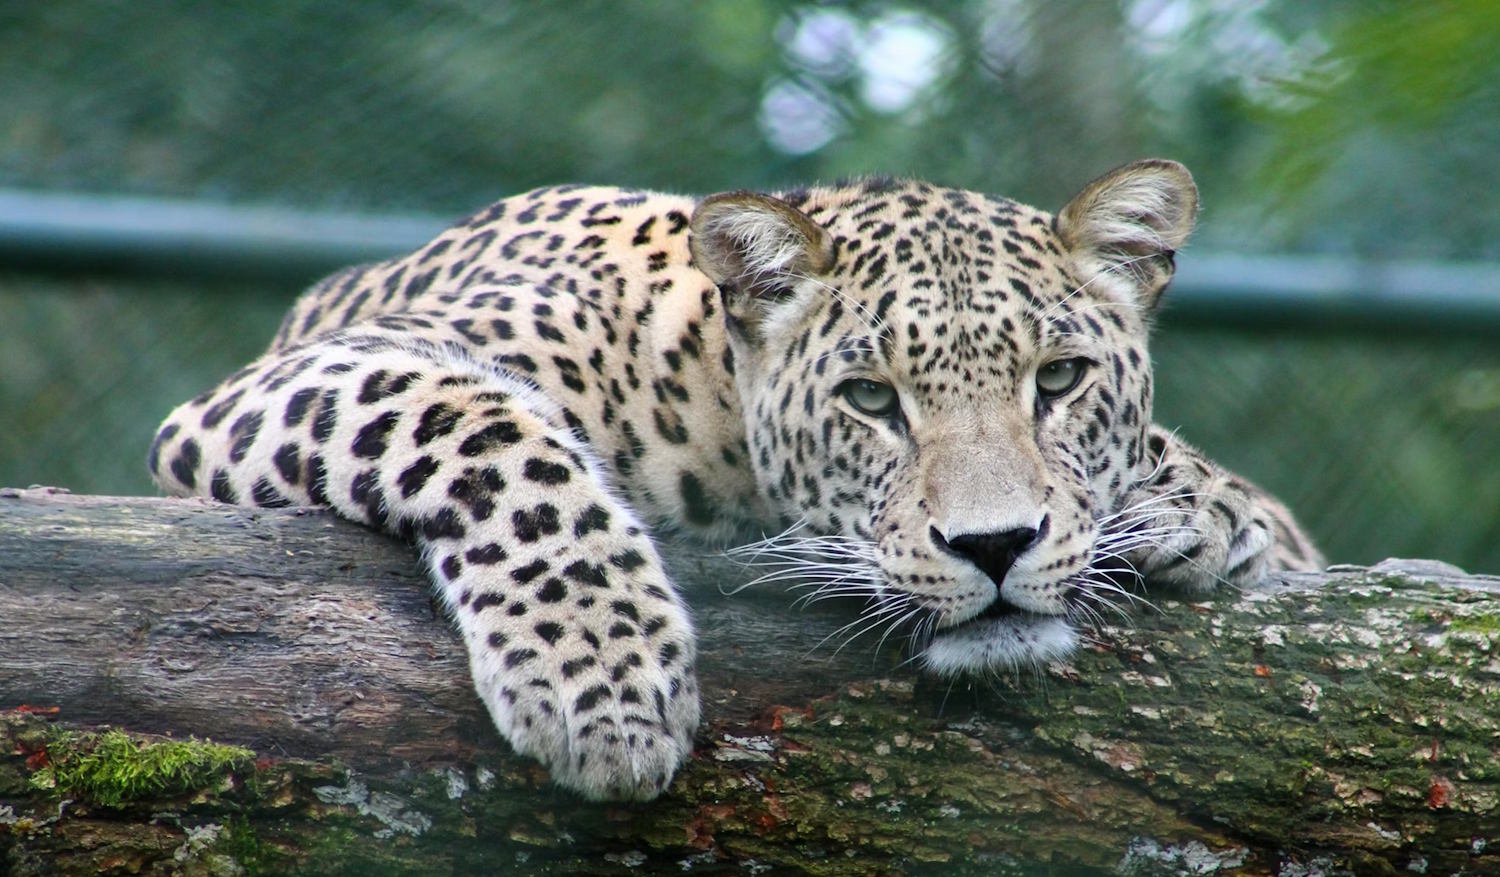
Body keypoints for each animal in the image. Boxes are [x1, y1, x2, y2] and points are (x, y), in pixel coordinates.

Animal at [148, 158, 1323, 802]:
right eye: (870, 399)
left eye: (1062, 379)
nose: (994, 547)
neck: (706, 395)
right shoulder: (289, 382)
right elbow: (487, 428)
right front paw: (604, 678)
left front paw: (1203, 507)